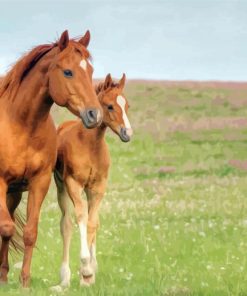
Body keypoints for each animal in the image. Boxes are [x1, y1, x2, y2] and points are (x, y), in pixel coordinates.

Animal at [0, 30, 103, 286]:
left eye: (90, 71)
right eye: (68, 72)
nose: (94, 114)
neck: (22, 124)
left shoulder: (39, 182)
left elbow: (29, 233)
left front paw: (24, 281)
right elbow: (5, 228)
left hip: (14, 194)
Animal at [53, 73, 132, 288]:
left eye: (127, 105)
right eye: (110, 106)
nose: (127, 133)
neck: (89, 145)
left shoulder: (98, 187)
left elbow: (93, 222)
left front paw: (87, 273)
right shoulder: (73, 184)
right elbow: (81, 217)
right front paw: (85, 266)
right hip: (61, 187)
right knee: (66, 225)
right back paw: (64, 278)